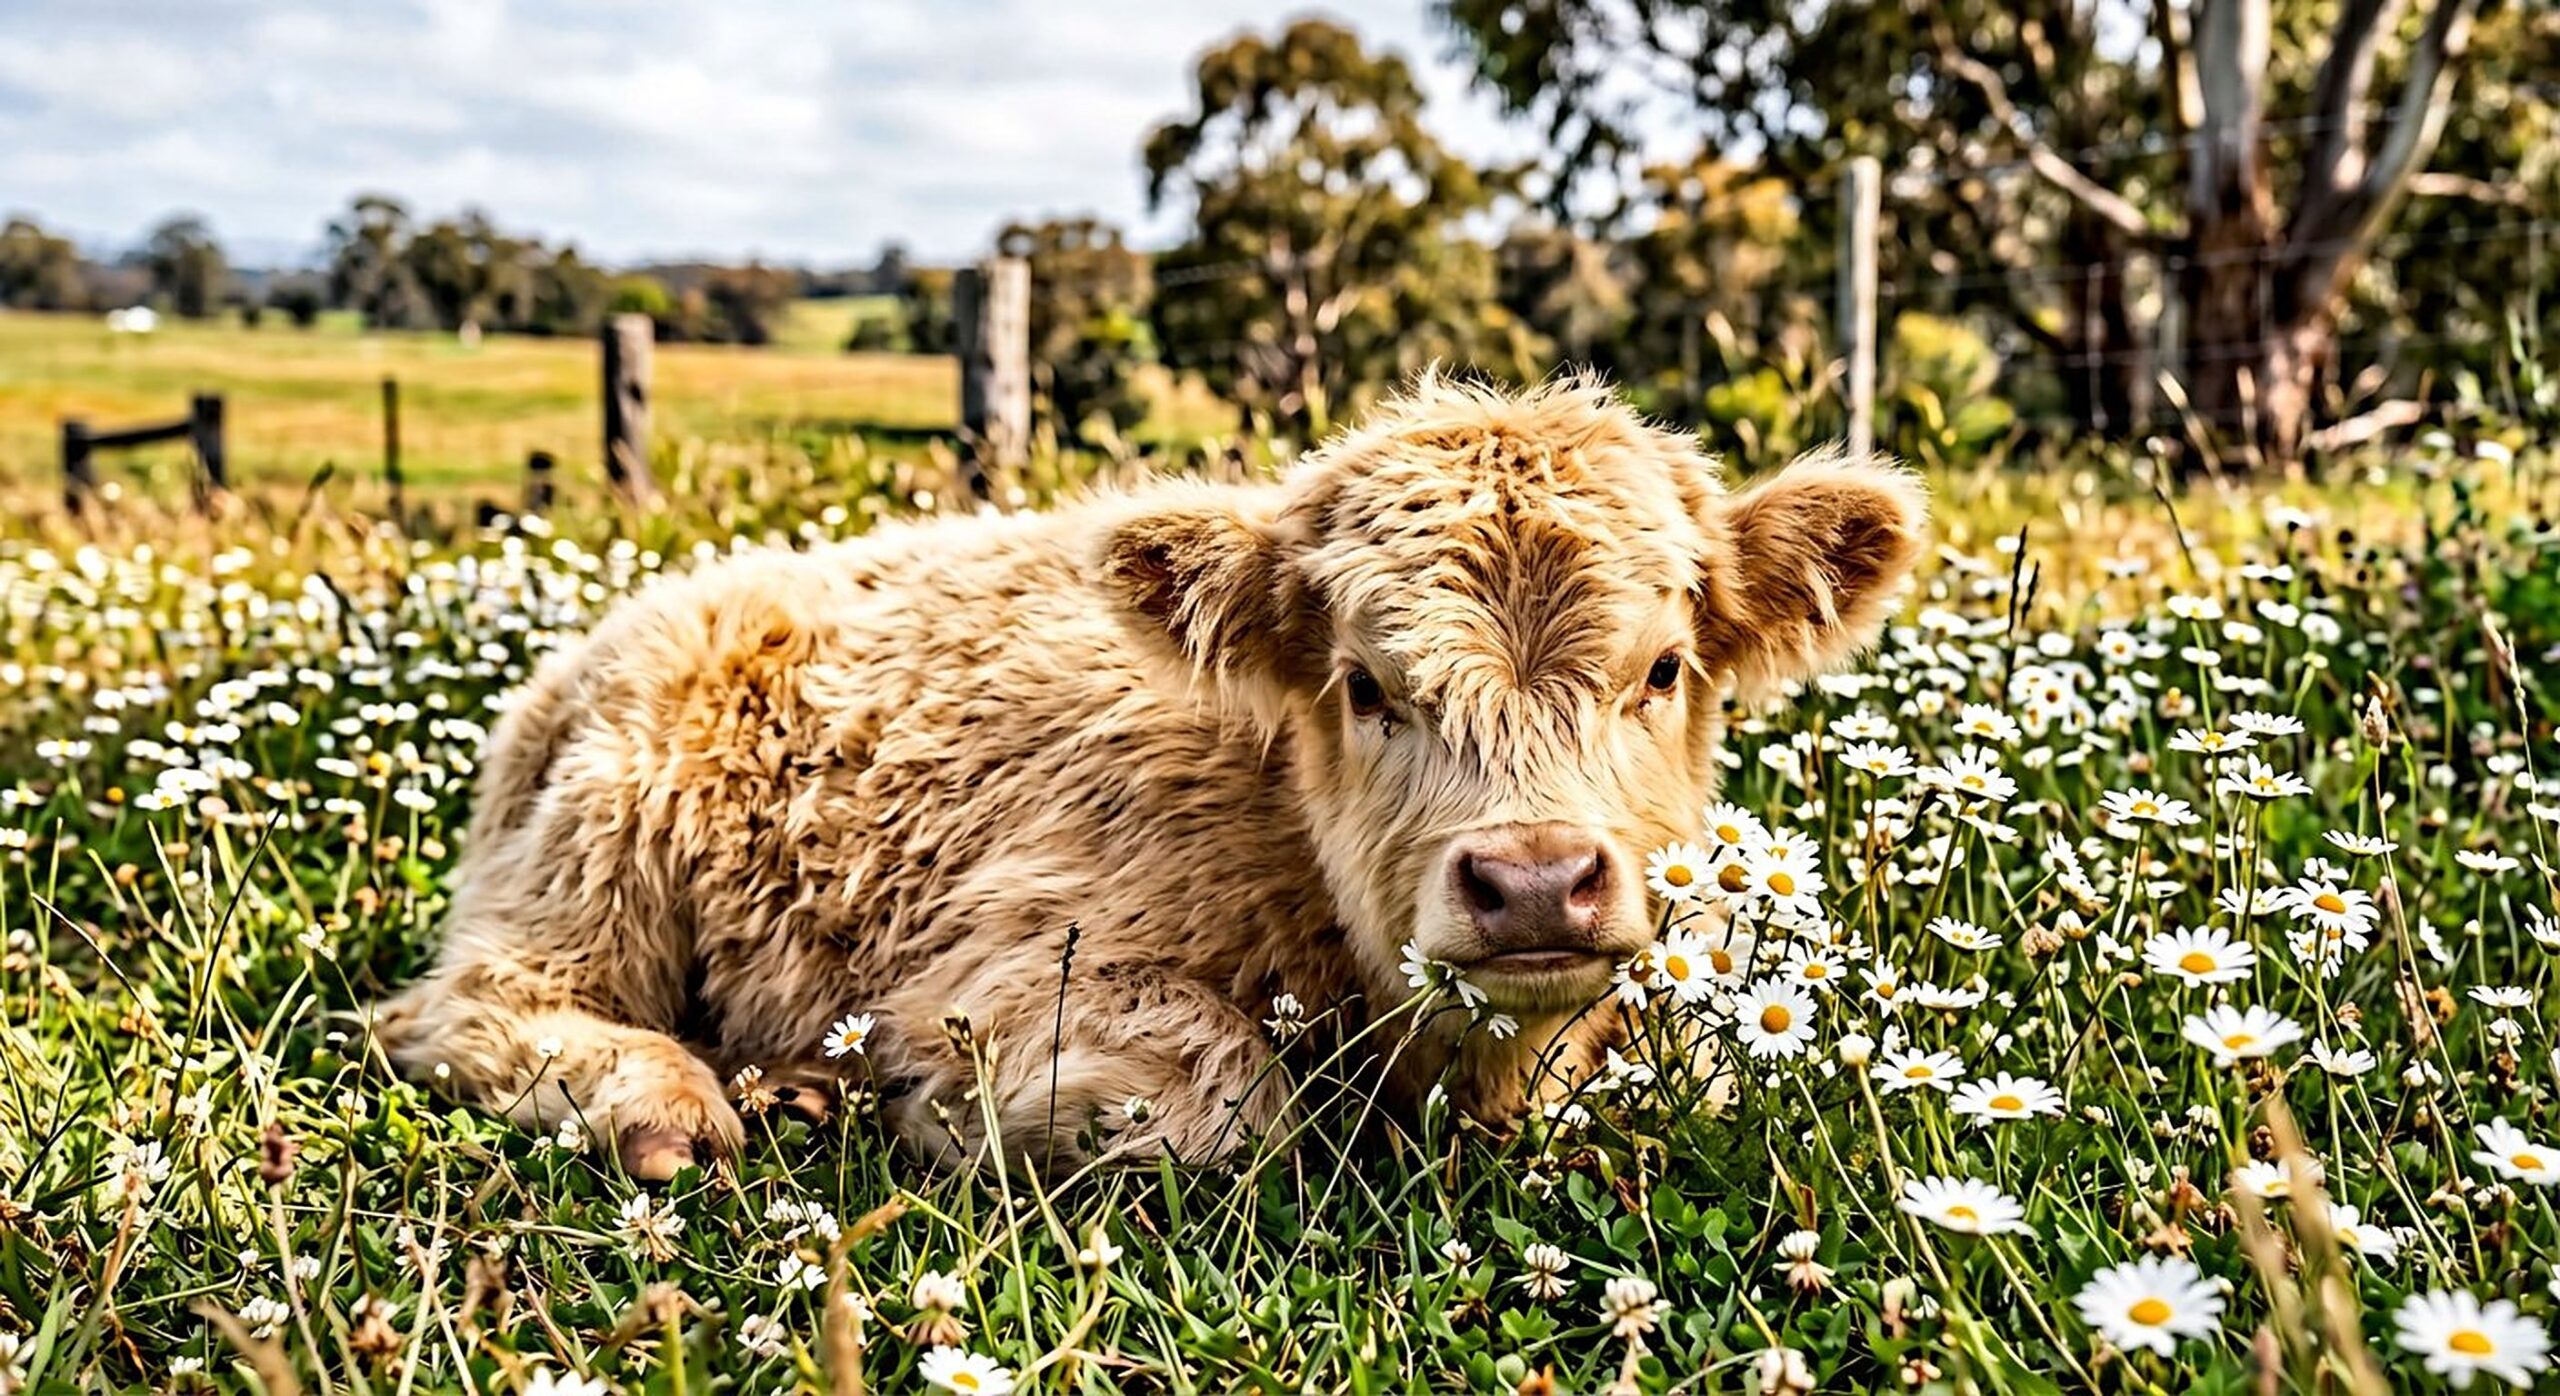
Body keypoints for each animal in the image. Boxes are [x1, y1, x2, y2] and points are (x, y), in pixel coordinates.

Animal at [373, 375, 1926, 1179]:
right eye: (1366, 686)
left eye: (1661, 670)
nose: (1536, 881)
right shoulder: (997, 974)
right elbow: (1227, 1103)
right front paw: (943, 1120)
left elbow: (1696, 1071)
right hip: (593, 863)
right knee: (462, 1013)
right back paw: (675, 1106)